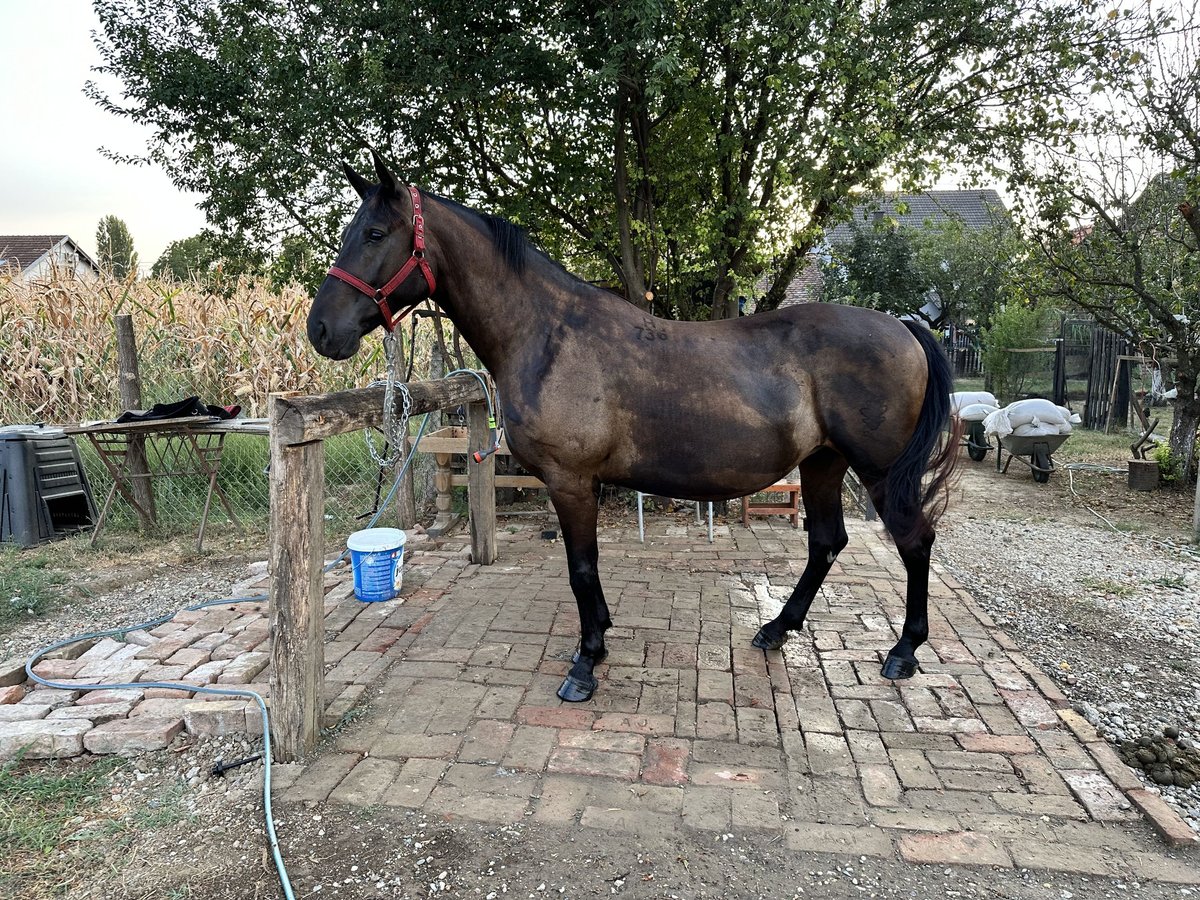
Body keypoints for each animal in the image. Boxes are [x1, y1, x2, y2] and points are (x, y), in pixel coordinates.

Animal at [309, 154, 955, 705]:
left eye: (375, 234)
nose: (320, 330)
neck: (548, 335)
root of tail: (902, 326)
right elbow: (586, 571)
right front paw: (596, 645)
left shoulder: (570, 481)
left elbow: (581, 569)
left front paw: (585, 663)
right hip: (823, 461)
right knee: (825, 541)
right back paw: (776, 629)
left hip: (878, 469)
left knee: (914, 539)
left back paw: (903, 652)